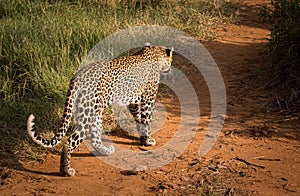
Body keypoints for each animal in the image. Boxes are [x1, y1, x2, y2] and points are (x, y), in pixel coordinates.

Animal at [27, 44, 175, 176]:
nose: (170, 68)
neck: (154, 53)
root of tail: (77, 77)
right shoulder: (148, 98)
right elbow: (146, 119)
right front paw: (148, 140)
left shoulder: (133, 101)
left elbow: (138, 117)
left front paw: (142, 136)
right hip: (87, 114)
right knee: (69, 142)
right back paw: (66, 171)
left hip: (93, 110)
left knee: (95, 138)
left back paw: (105, 151)